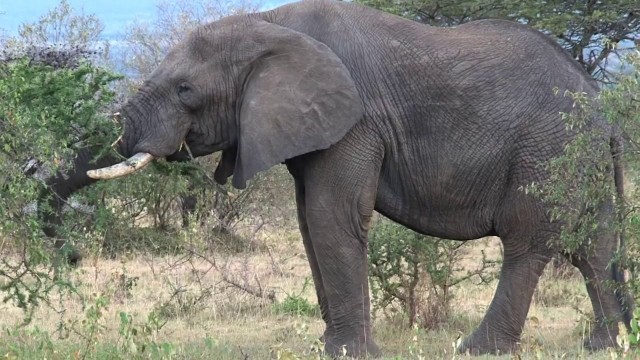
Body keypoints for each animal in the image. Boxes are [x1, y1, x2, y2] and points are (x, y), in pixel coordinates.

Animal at [84, 0, 632, 354]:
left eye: (185, 90)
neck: (269, 24)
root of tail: (602, 104)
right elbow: (309, 222)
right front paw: (330, 345)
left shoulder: (356, 122)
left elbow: (332, 217)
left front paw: (350, 352)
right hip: (579, 155)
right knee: (596, 245)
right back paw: (604, 344)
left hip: (546, 149)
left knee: (528, 241)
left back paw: (477, 348)